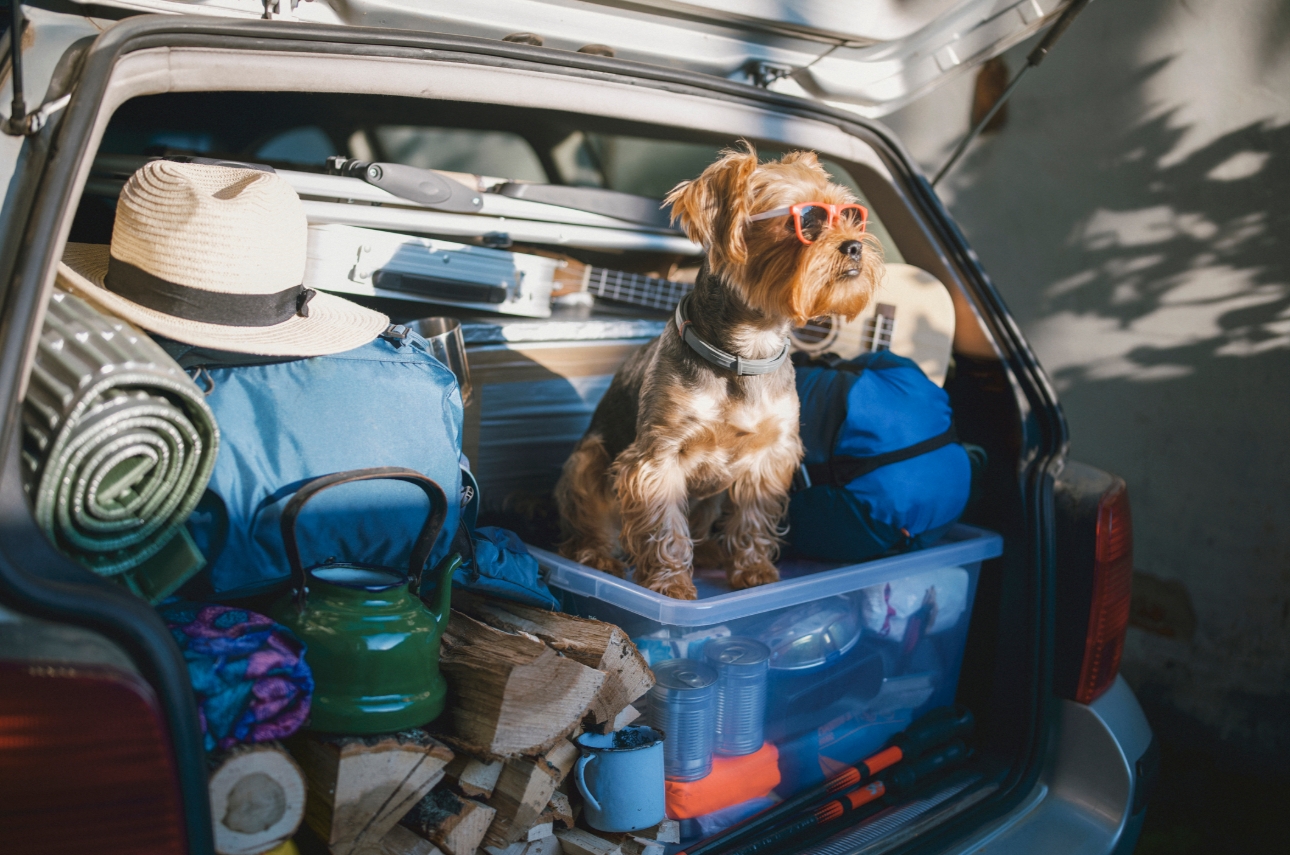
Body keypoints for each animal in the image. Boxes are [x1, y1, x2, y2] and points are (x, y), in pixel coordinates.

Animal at [554, 145, 887, 600]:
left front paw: (754, 569)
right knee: (590, 524)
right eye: (806, 220)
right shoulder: (658, 457)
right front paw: (670, 584)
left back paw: (711, 550)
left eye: (851, 215)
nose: (854, 247)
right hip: (586, 460)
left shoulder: (769, 454)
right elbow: (665, 525)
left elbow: (753, 517)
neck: (747, 351)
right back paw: (599, 554)